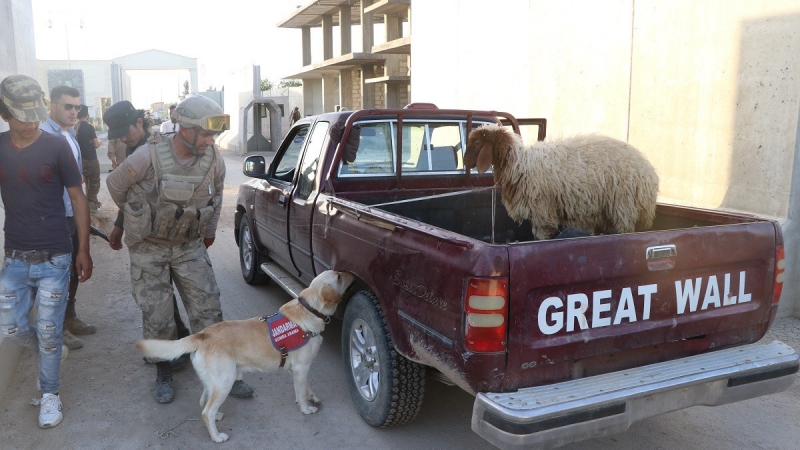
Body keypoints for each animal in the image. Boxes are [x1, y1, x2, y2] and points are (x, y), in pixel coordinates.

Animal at [136, 268, 354, 442]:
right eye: (338, 276)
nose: (352, 273)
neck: (310, 310)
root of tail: (202, 334)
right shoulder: (301, 368)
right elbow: (300, 391)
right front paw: (306, 409)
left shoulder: (299, 368)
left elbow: (306, 387)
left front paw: (312, 398)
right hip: (226, 380)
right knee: (206, 411)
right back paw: (217, 437)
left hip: (213, 381)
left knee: (203, 403)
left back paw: (217, 417)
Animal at [460, 124, 660, 239]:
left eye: (477, 144)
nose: (465, 162)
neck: (519, 164)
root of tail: (649, 170)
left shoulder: (542, 213)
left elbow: (541, 238)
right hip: (605, 211)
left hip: (624, 207)